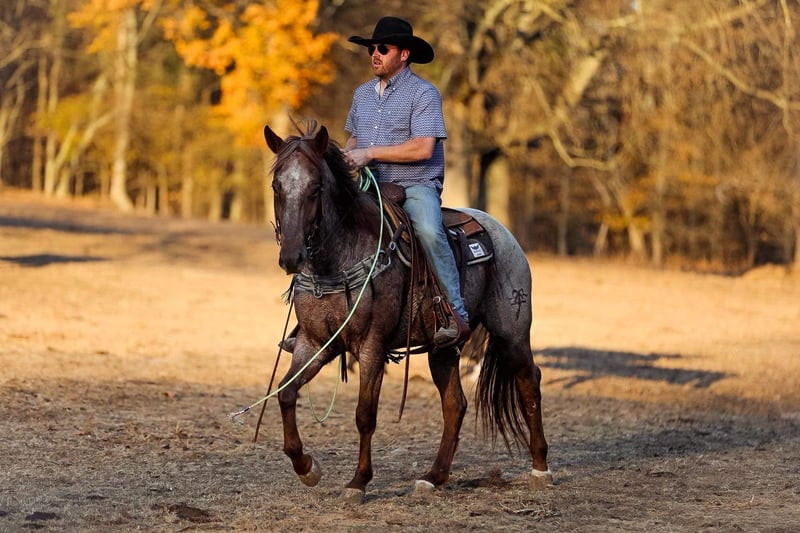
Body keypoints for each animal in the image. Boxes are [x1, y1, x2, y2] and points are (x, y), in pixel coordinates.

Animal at [263, 121, 551, 503]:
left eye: (316, 187)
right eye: (276, 186)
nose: (292, 257)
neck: (337, 261)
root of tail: (504, 234)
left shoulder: (371, 346)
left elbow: (365, 414)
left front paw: (358, 481)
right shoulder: (315, 343)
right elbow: (285, 393)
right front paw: (307, 468)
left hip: (512, 331)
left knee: (528, 382)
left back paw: (540, 469)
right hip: (444, 348)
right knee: (455, 404)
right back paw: (433, 476)